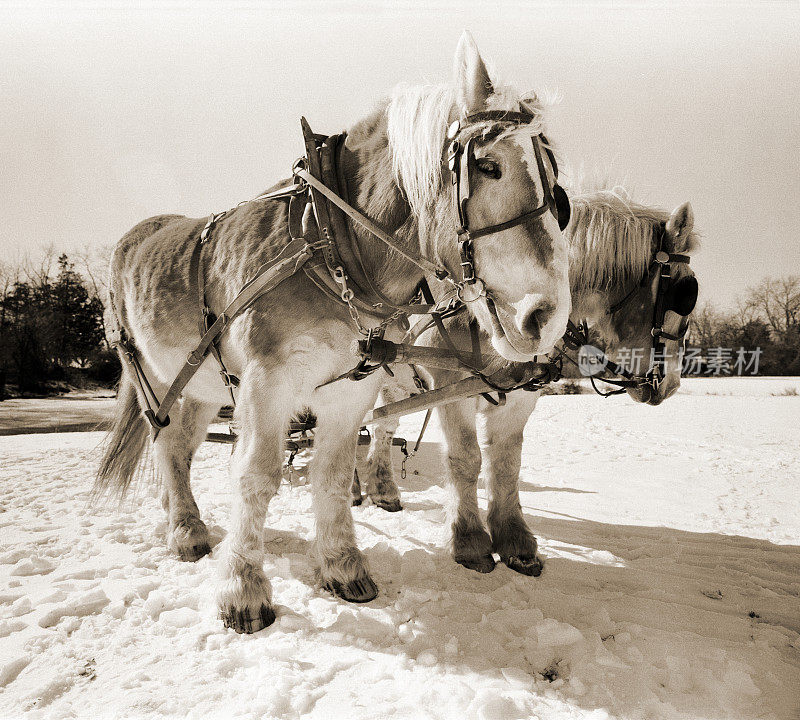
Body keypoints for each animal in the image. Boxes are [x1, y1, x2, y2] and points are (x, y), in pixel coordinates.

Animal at [98, 33, 576, 632]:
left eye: (557, 186)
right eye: (488, 166)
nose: (548, 317)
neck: (332, 244)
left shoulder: (351, 390)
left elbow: (330, 475)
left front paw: (343, 567)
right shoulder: (267, 381)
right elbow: (255, 476)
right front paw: (243, 590)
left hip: (203, 385)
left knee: (181, 448)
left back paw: (179, 517)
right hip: (152, 375)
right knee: (164, 441)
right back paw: (185, 532)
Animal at [360, 188, 696, 576]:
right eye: (687, 292)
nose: (671, 384)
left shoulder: (521, 395)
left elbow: (507, 464)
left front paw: (516, 542)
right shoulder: (453, 385)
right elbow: (466, 458)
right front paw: (469, 542)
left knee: (381, 427)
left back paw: (379, 488)